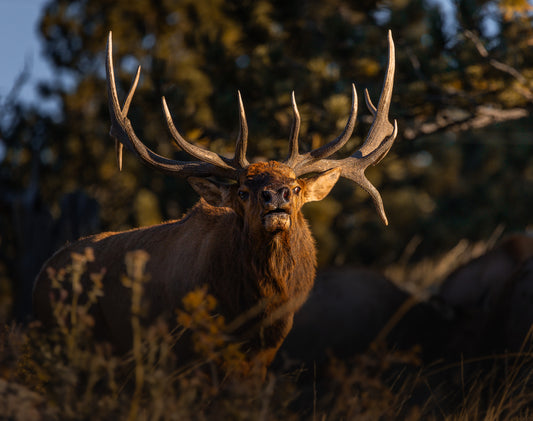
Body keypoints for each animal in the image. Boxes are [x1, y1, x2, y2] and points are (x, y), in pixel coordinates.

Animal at [33, 31, 396, 366]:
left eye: (294, 187)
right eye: (244, 191)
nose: (275, 196)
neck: (251, 308)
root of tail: (39, 278)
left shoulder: (268, 348)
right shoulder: (187, 343)